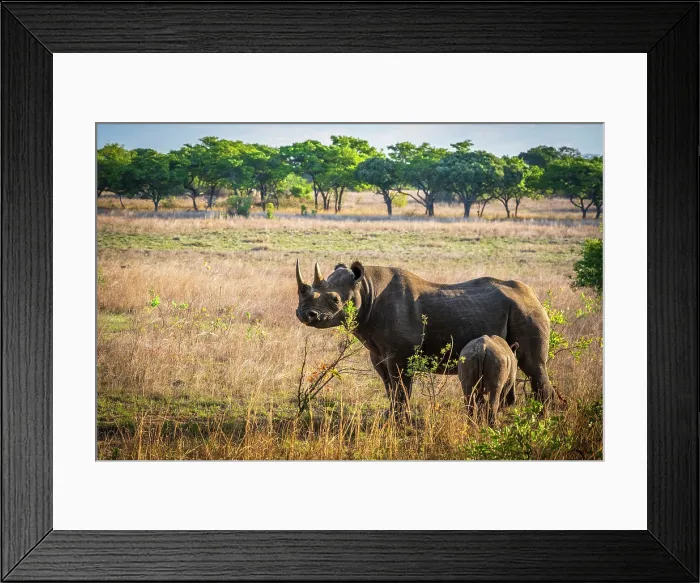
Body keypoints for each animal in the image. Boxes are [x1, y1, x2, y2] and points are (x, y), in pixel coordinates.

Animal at [295, 260, 554, 415]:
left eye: (335, 300)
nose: (304, 314)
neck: (366, 289)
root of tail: (533, 295)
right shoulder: (378, 353)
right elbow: (390, 386)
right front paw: (391, 416)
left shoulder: (401, 355)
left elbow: (401, 387)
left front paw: (402, 421)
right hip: (522, 308)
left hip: (526, 311)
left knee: (533, 365)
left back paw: (540, 419)